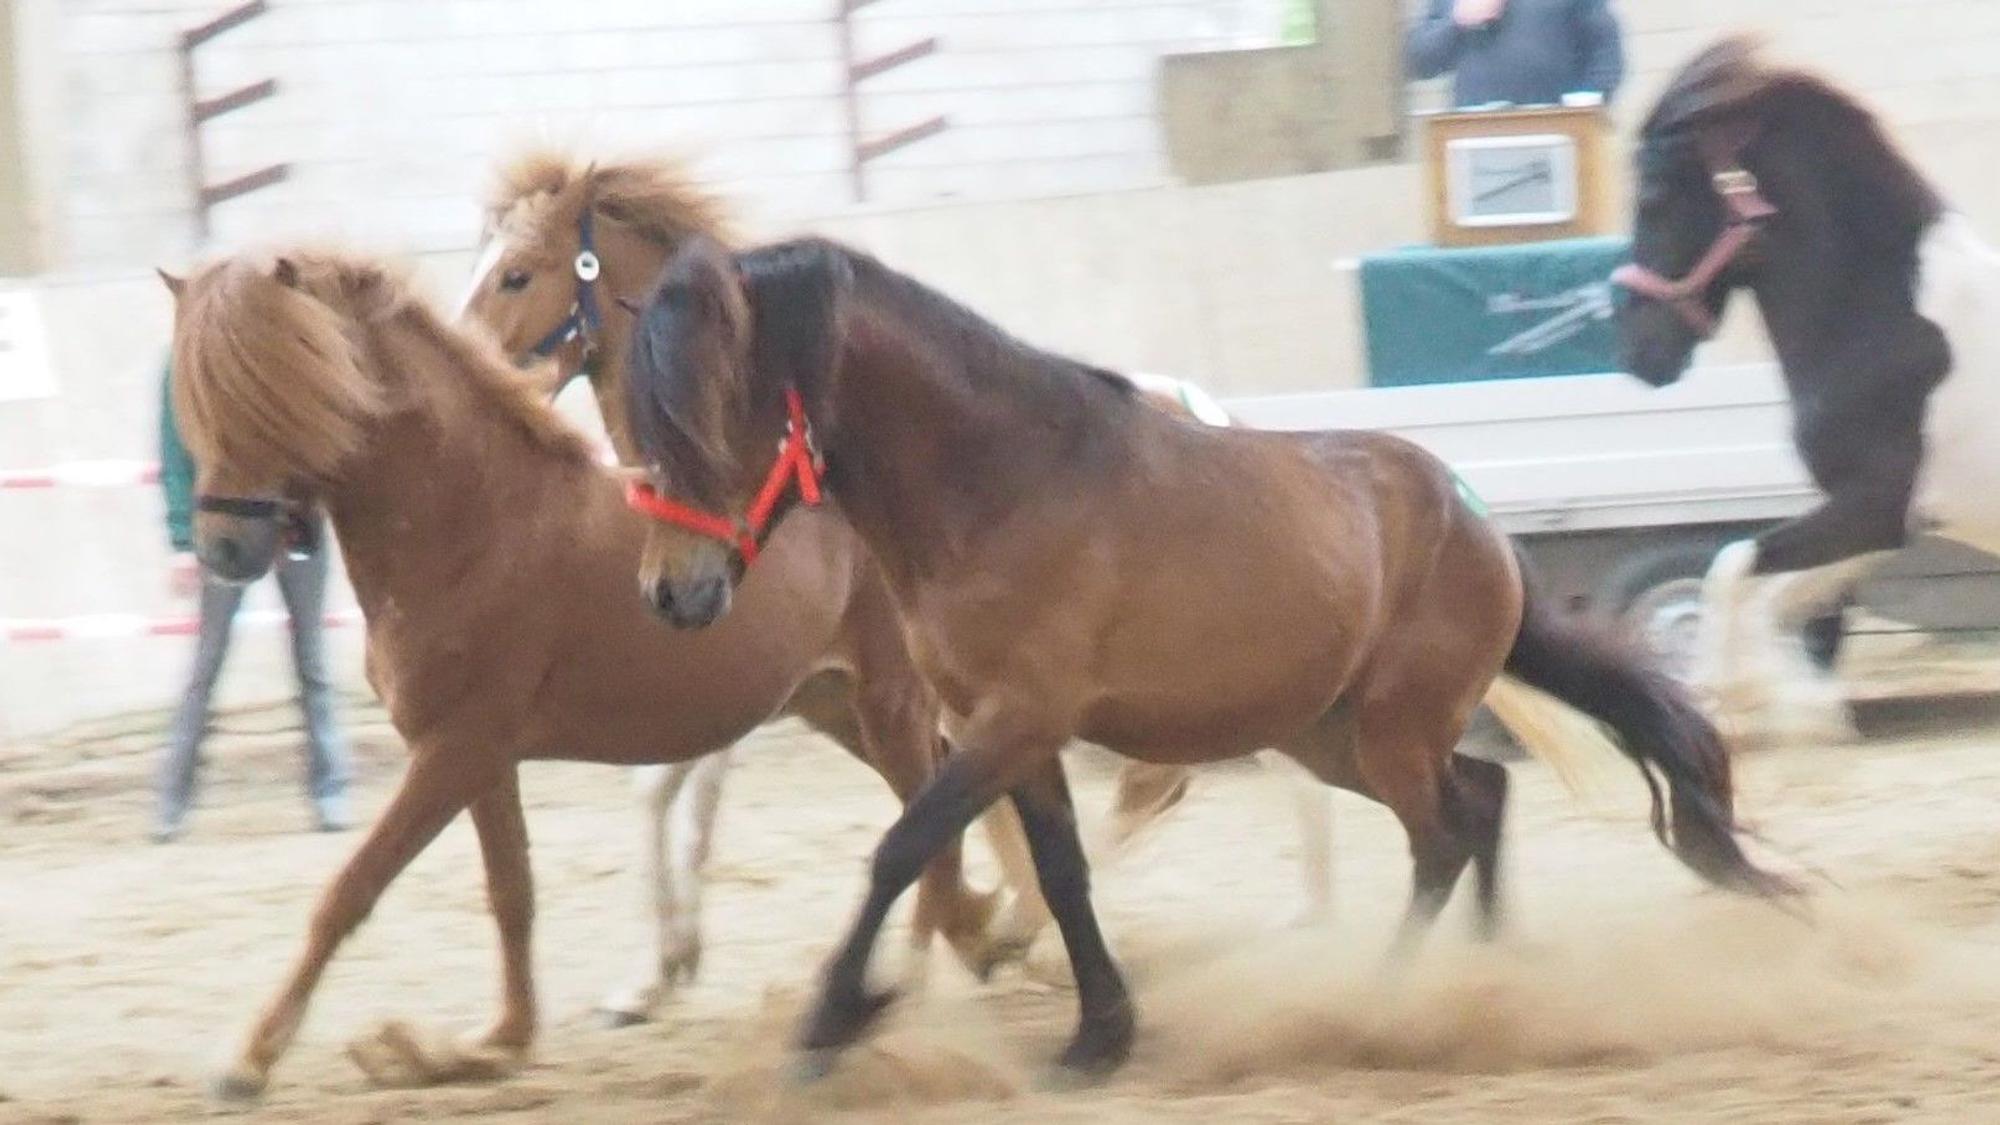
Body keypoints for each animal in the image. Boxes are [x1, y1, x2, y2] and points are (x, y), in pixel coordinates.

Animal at [158, 248, 1012, 1100]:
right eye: (195, 397)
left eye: (276, 387)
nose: (223, 548)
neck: (470, 519)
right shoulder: (482, 756)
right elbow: (512, 892)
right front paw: (491, 1041)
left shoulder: (454, 748)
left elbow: (351, 889)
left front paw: (251, 1058)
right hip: (835, 703)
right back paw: (992, 937)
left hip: (888, 699)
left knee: (937, 830)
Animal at [461, 152, 1628, 988]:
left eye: (516, 273)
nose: (479, 370)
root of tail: (1472, 518)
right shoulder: (820, 688)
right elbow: (681, 794)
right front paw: (658, 974)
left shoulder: (899, 696)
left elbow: (924, 834)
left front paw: (954, 952)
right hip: (1319, 711)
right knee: (1447, 797)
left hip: (1342, 718)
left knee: (1357, 811)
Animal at [617, 234, 1789, 1078]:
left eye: (712, 420)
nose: (671, 593)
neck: (998, 487)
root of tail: (1479, 525)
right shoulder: (1012, 734)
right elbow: (1061, 873)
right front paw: (1098, 1037)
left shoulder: (1013, 719)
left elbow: (903, 847)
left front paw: (833, 1019)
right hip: (1335, 736)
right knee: (1484, 800)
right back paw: (1493, 973)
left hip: (1390, 730)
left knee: (1445, 834)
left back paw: (1389, 1003)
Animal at [1614, 36, 2000, 747]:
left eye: (1653, 198)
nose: (1636, 354)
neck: (1887, 319)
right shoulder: (1880, 525)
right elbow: (1777, 593)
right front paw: (1806, 707)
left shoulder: (1873, 506)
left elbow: (1731, 567)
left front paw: (1723, 698)